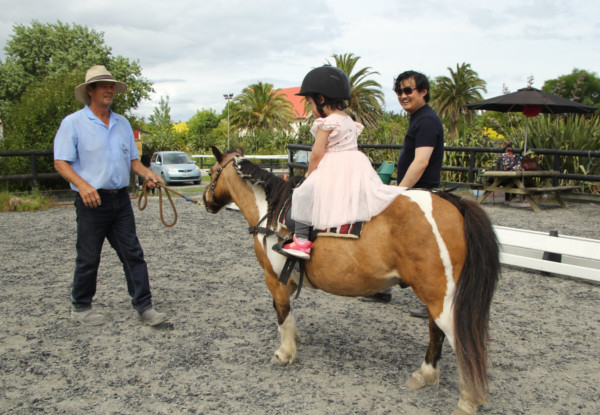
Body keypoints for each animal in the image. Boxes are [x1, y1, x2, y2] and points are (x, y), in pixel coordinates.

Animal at [204, 148, 500, 414]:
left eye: (212, 171)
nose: (206, 200)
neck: (272, 208)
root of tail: (453, 202)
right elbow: (287, 314)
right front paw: (295, 339)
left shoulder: (273, 277)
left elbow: (282, 312)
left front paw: (285, 353)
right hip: (435, 295)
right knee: (435, 331)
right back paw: (425, 374)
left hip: (441, 297)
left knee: (459, 339)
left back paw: (468, 400)